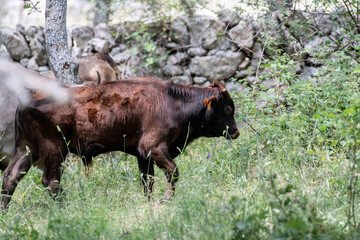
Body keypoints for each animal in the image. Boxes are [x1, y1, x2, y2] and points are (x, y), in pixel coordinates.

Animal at [0, 78, 239, 208]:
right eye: (228, 108)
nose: (236, 132)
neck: (174, 102)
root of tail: (26, 98)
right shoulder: (154, 147)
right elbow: (173, 172)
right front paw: (165, 200)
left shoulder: (144, 156)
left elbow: (147, 181)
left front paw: (149, 202)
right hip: (54, 150)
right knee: (50, 181)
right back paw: (66, 207)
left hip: (26, 149)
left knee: (11, 178)